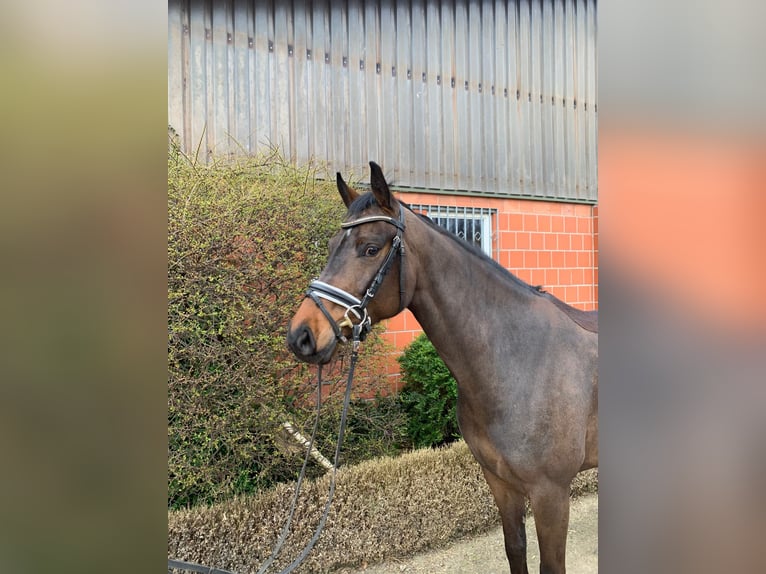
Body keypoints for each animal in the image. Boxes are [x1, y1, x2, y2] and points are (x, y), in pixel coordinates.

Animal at [288, 162, 600, 574]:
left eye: (370, 248)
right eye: (330, 247)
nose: (302, 336)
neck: (518, 359)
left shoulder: (552, 493)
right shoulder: (500, 483)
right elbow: (515, 548)